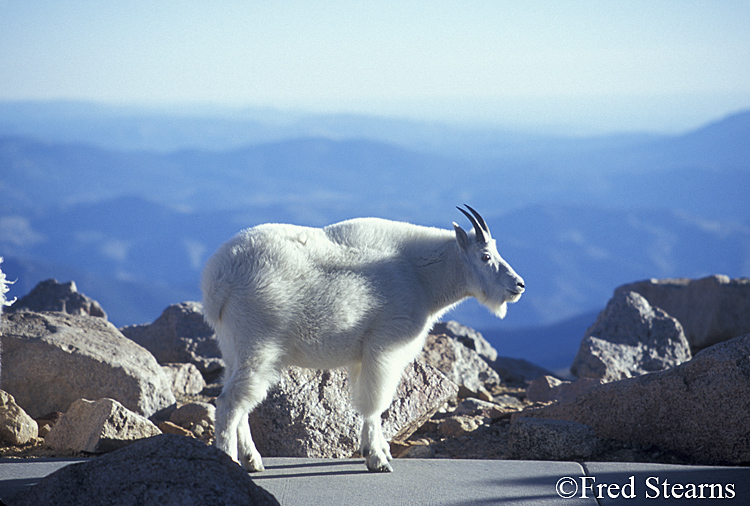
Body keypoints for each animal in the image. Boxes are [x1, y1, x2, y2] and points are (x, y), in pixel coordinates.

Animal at [201, 205, 524, 472]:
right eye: (485, 256)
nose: (519, 285)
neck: (421, 277)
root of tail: (218, 278)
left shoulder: (361, 355)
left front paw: (380, 450)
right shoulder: (385, 347)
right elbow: (375, 403)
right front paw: (377, 459)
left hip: (233, 348)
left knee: (239, 402)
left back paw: (253, 460)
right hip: (259, 345)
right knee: (230, 402)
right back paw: (229, 459)